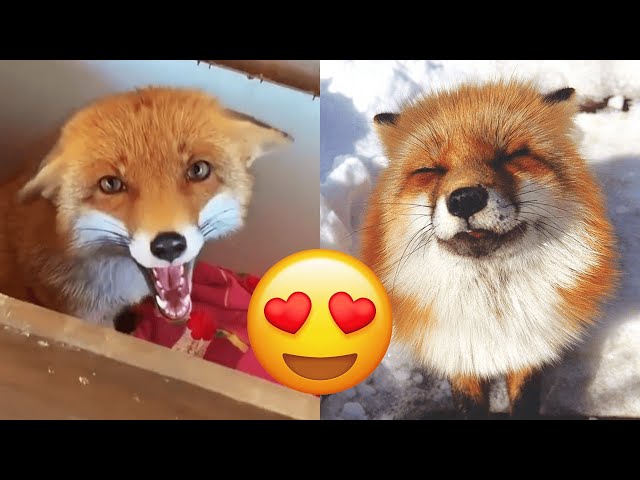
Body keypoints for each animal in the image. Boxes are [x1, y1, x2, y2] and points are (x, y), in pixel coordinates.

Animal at [361, 81, 618, 418]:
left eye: (512, 155)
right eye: (430, 170)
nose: (465, 199)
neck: (492, 315)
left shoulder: (529, 352)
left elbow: (524, 401)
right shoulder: (458, 359)